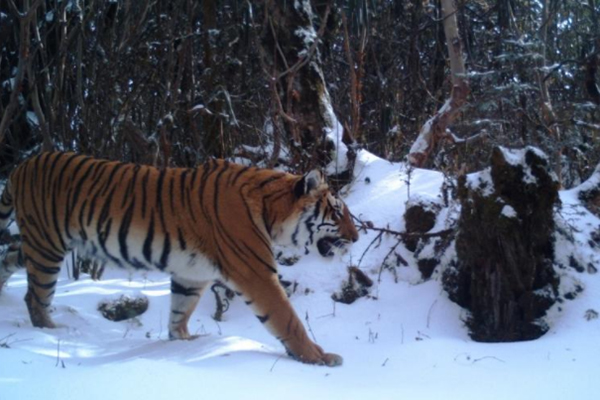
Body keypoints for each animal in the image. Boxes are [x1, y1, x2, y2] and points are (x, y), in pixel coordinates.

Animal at [0, 152, 356, 368]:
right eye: (337, 213)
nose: (356, 237)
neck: (272, 212)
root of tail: (21, 165)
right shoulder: (255, 273)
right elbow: (287, 319)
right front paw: (319, 357)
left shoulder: (191, 273)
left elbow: (179, 311)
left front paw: (182, 344)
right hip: (47, 247)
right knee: (35, 296)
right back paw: (52, 333)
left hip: (37, 244)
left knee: (9, 257)